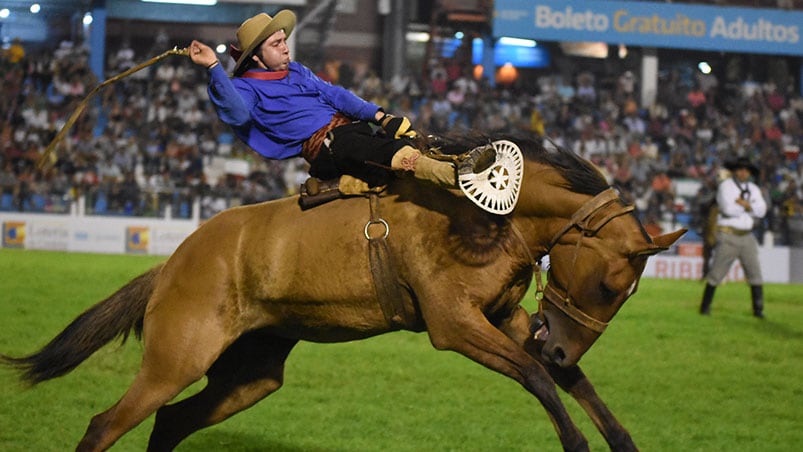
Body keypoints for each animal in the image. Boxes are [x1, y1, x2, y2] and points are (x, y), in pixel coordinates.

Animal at [3, 135, 688, 452]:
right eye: (609, 284)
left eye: (624, 294)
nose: (565, 346)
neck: (485, 209)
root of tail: (174, 261)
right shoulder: (455, 325)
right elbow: (539, 378)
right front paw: (574, 437)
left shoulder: (508, 317)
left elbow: (572, 382)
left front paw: (619, 437)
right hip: (175, 359)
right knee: (106, 424)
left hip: (249, 374)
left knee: (170, 421)